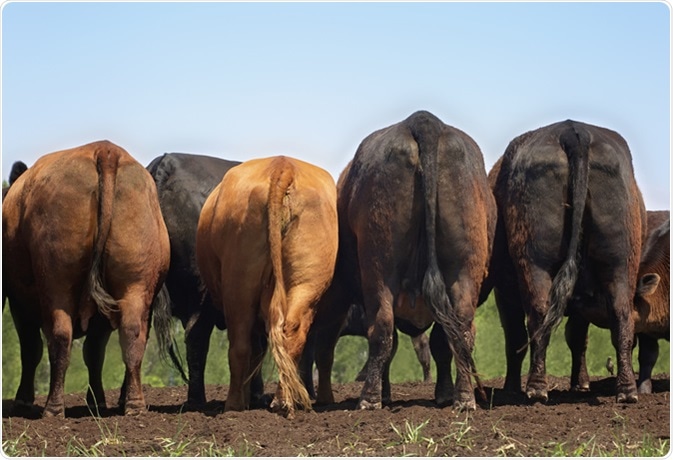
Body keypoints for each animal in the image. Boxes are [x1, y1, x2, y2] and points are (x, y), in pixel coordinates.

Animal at [2, 140, 171, 417]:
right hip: (135, 285)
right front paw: (97, 401)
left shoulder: (19, 302)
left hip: (56, 284)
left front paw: (23, 400)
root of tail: (105, 150)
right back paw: (134, 405)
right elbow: (94, 354)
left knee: (60, 336)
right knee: (132, 334)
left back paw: (53, 408)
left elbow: (31, 349)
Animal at [196, 155, 338, 418]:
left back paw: (234, 405)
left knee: (240, 346)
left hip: (239, 286)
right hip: (306, 282)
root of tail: (283, 165)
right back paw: (283, 400)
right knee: (291, 335)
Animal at [310, 110, 496, 411]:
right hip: (464, 270)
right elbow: (441, 342)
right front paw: (444, 393)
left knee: (383, 330)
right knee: (462, 330)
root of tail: (424, 120)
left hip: (379, 267)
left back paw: (370, 398)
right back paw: (465, 398)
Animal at [488, 120, 646, 404]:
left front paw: (510, 387)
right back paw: (627, 390)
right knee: (622, 317)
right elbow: (578, 337)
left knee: (538, 315)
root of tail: (573, 131)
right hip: (620, 263)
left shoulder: (503, 291)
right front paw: (580, 384)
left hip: (534, 262)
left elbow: (515, 337)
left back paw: (536, 388)